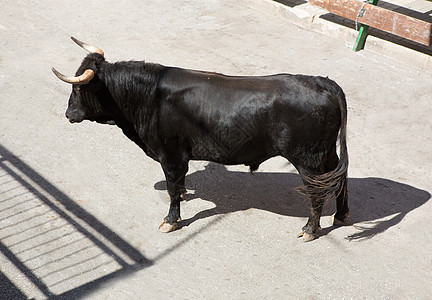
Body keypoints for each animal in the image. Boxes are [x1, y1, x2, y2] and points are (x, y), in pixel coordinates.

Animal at [53, 38, 348, 243]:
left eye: (78, 88)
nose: (68, 114)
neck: (149, 97)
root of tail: (323, 83)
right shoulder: (179, 156)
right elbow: (178, 184)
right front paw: (183, 195)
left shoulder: (170, 154)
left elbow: (173, 188)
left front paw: (171, 220)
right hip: (327, 154)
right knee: (340, 178)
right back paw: (341, 214)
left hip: (308, 160)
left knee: (317, 192)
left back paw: (310, 229)